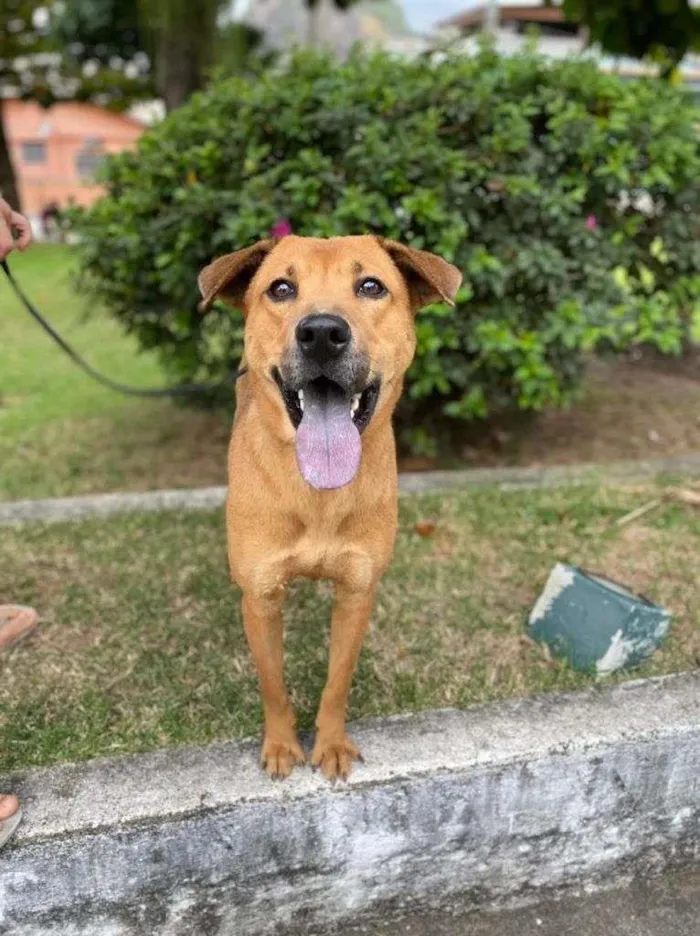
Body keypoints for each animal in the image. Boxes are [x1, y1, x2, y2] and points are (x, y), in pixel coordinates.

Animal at [198, 238, 460, 780]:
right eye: (280, 288)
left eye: (371, 286)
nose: (321, 333)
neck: (318, 493)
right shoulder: (260, 597)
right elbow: (272, 684)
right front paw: (281, 744)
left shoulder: (358, 591)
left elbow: (338, 680)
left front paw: (332, 743)